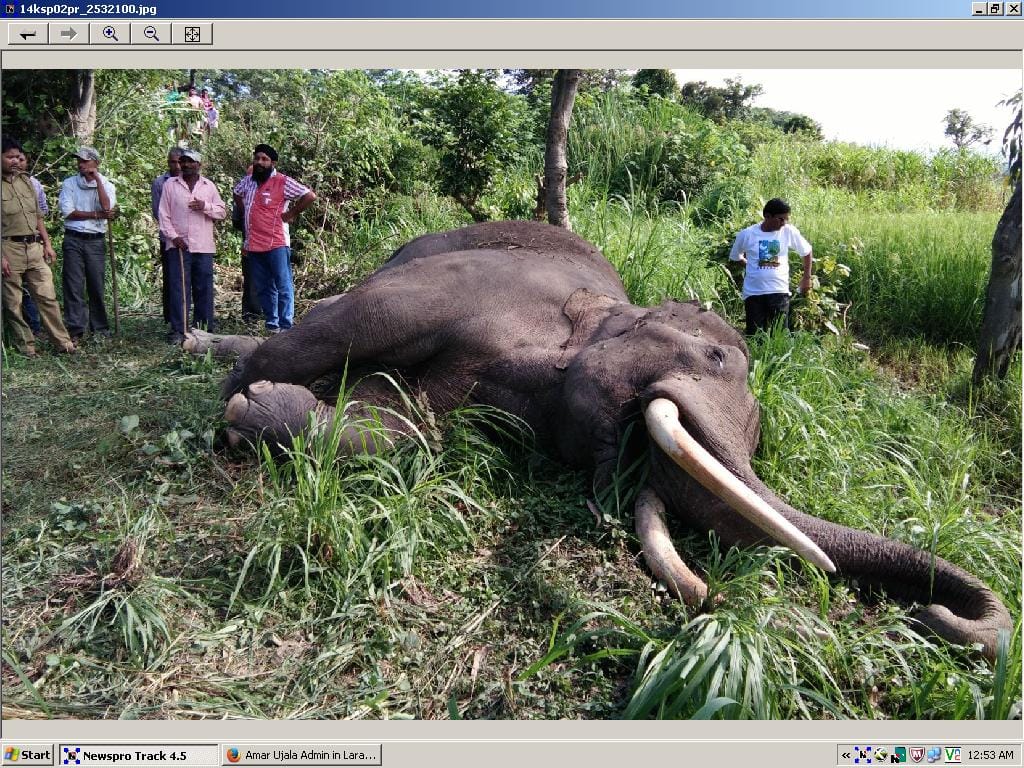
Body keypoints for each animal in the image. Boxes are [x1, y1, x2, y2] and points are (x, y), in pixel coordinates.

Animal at [187, 220, 1012, 659]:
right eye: (719, 358)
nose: (932, 616)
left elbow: (408, 425)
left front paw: (265, 408)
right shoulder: (473, 291)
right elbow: (365, 324)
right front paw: (243, 397)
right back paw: (204, 345)